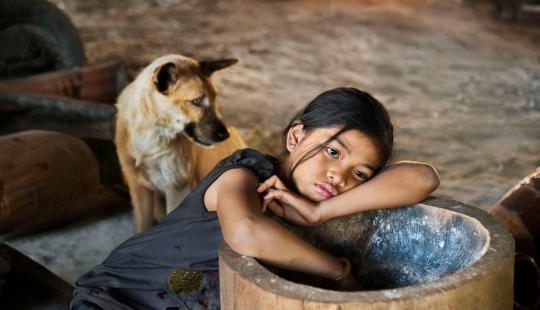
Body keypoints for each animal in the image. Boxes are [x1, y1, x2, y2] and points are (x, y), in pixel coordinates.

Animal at [118, 54, 247, 231]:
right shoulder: (139, 186)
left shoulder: (177, 187)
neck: (152, 138)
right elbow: (142, 226)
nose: (225, 134)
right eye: (196, 101)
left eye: (215, 98)